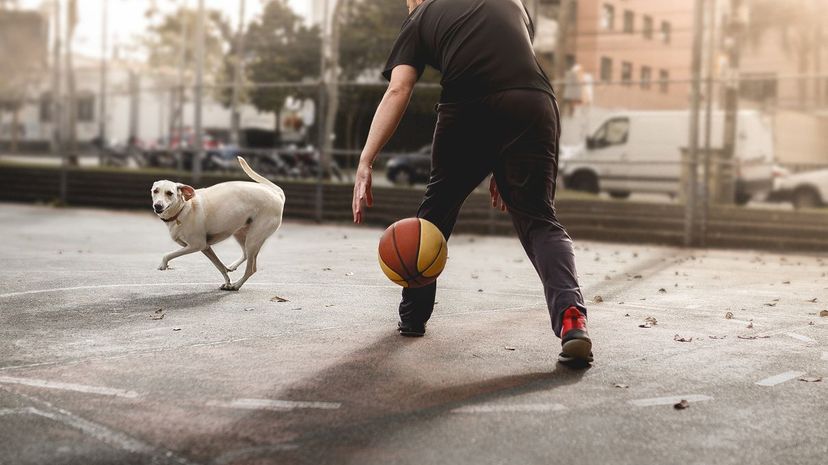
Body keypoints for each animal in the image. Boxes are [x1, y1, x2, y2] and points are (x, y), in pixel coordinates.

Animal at [152, 158, 284, 292]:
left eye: (169, 193)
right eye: (155, 191)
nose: (157, 205)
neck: (183, 208)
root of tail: (277, 194)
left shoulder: (197, 245)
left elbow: (167, 254)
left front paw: (163, 264)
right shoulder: (206, 248)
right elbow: (219, 266)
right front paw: (227, 281)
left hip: (253, 239)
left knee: (251, 269)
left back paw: (237, 285)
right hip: (240, 233)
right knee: (246, 254)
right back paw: (232, 267)